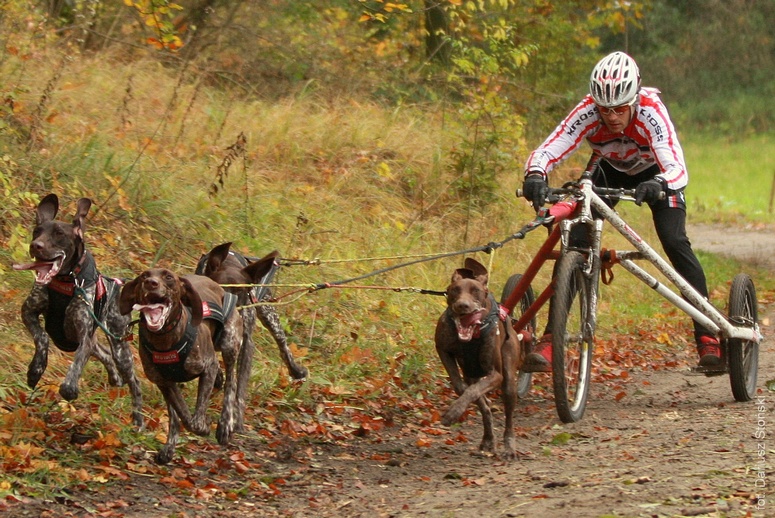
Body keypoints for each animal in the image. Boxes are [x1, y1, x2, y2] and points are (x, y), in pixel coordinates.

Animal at [12, 195, 144, 430]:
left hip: (120, 346)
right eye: (37, 231)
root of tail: (118, 285)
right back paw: (114, 377)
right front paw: (36, 369)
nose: (35, 246)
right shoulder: (28, 312)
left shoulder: (83, 336)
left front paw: (70, 388)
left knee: (134, 381)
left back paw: (138, 420)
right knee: (104, 354)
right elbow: (42, 337)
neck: (66, 281)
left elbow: (76, 366)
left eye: (59, 234)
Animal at [119, 270, 242, 466]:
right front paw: (170, 446)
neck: (164, 340)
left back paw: (225, 424)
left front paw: (204, 426)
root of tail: (216, 284)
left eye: (168, 276)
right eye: (144, 276)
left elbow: (196, 418)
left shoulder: (208, 365)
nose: (151, 283)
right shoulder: (164, 382)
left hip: (230, 342)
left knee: (231, 382)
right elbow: (181, 415)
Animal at [196, 244, 308, 434]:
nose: (229, 317)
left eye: (240, 294)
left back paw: (296, 370)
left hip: (269, 313)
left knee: (283, 344)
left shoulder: (247, 344)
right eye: (219, 290)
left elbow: (239, 388)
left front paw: (234, 420)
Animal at [434, 258, 524, 460]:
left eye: (475, 291)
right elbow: (463, 388)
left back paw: (510, 447)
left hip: (508, 378)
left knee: (509, 417)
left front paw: (454, 411)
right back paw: (488, 439)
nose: (463, 305)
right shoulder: (443, 349)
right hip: (471, 372)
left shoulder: (495, 374)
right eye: (455, 290)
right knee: (483, 404)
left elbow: (473, 392)